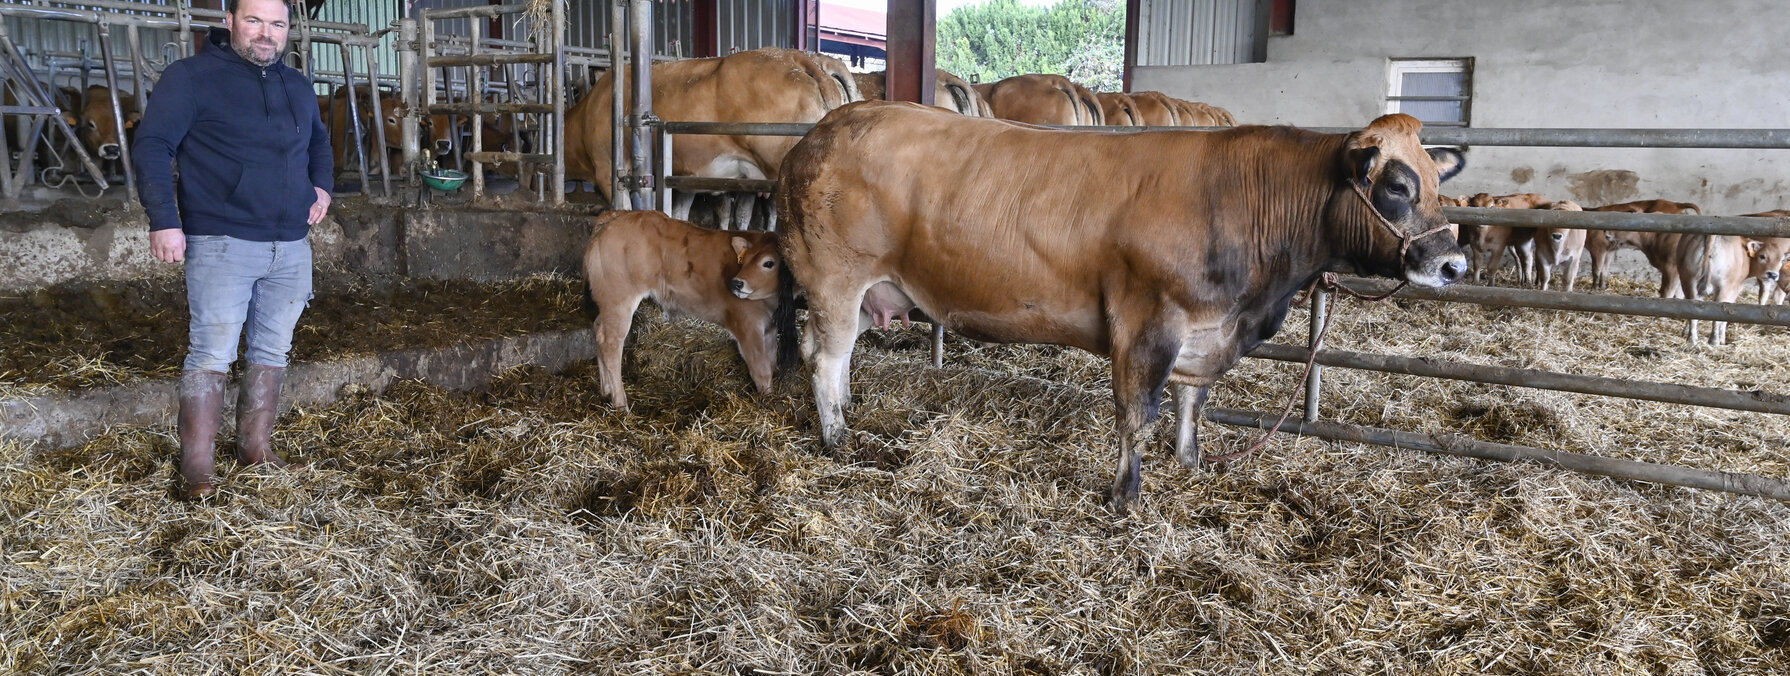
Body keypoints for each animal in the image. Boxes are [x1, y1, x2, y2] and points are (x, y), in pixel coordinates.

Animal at [582, 210, 796, 412]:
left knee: (598, 329)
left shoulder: (769, 328)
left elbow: (771, 362)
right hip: (619, 300)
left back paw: (606, 390)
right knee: (610, 343)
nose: (737, 283)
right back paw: (621, 404)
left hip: (608, 304)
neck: (770, 304)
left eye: (769, 262)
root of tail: (616, 215)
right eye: (745, 260)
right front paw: (768, 401)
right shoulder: (747, 325)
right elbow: (761, 369)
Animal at [776, 105, 1466, 510]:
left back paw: (848, 417)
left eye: (1439, 181)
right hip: (835, 278)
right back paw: (837, 438)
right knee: (825, 357)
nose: (1453, 265)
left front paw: (1189, 467)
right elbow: (1139, 414)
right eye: (1397, 185)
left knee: (828, 353)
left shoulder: (1205, 331)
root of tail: (820, 133)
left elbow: (1192, 404)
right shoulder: (1146, 322)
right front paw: (1124, 495)